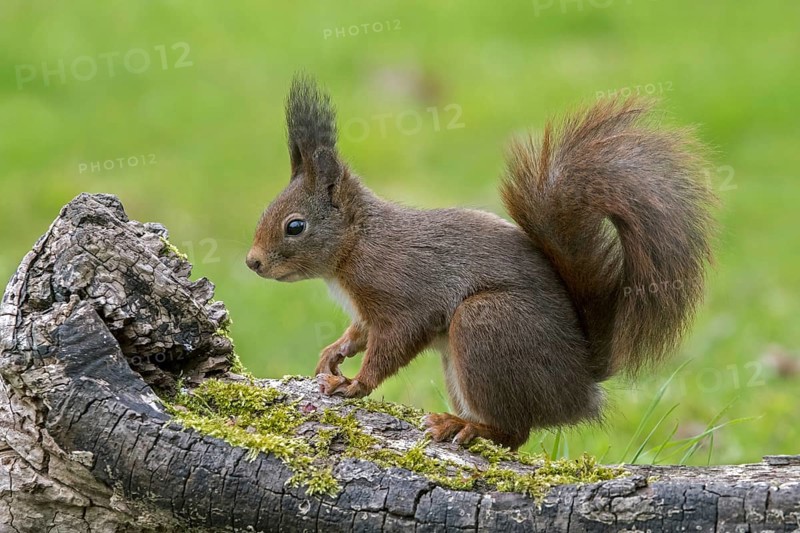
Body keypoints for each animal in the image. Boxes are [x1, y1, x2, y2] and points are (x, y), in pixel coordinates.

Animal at [246, 75, 716, 449]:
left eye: (294, 226)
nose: (252, 262)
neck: (357, 243)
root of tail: (582, 383)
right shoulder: (366, 311)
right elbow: (358, 333)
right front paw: (333, 354)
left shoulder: (403, 293)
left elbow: (394, 341)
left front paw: (356, 383)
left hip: (485, 325)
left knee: (516, 432)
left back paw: (465, 427)